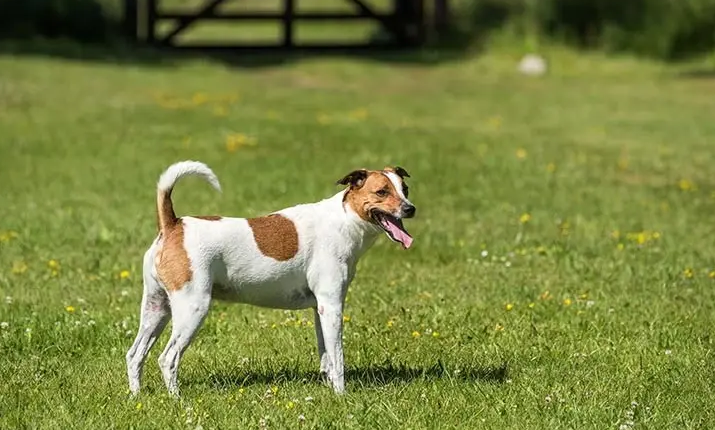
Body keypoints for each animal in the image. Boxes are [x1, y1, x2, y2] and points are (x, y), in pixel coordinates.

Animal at [126, 161, 416, 396]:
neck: (345, 219)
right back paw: (178, 400)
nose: (410, 209)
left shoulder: (319, 309)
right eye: (382, 192)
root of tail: (173, 224)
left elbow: (326, 356)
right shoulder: (332, 305)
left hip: (156, 308)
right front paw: (341, 395)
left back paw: (136, 396)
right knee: (168, 358)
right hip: (192, 308)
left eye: (405, 190)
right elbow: (338, 358)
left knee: (135, 354)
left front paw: (329, 388)